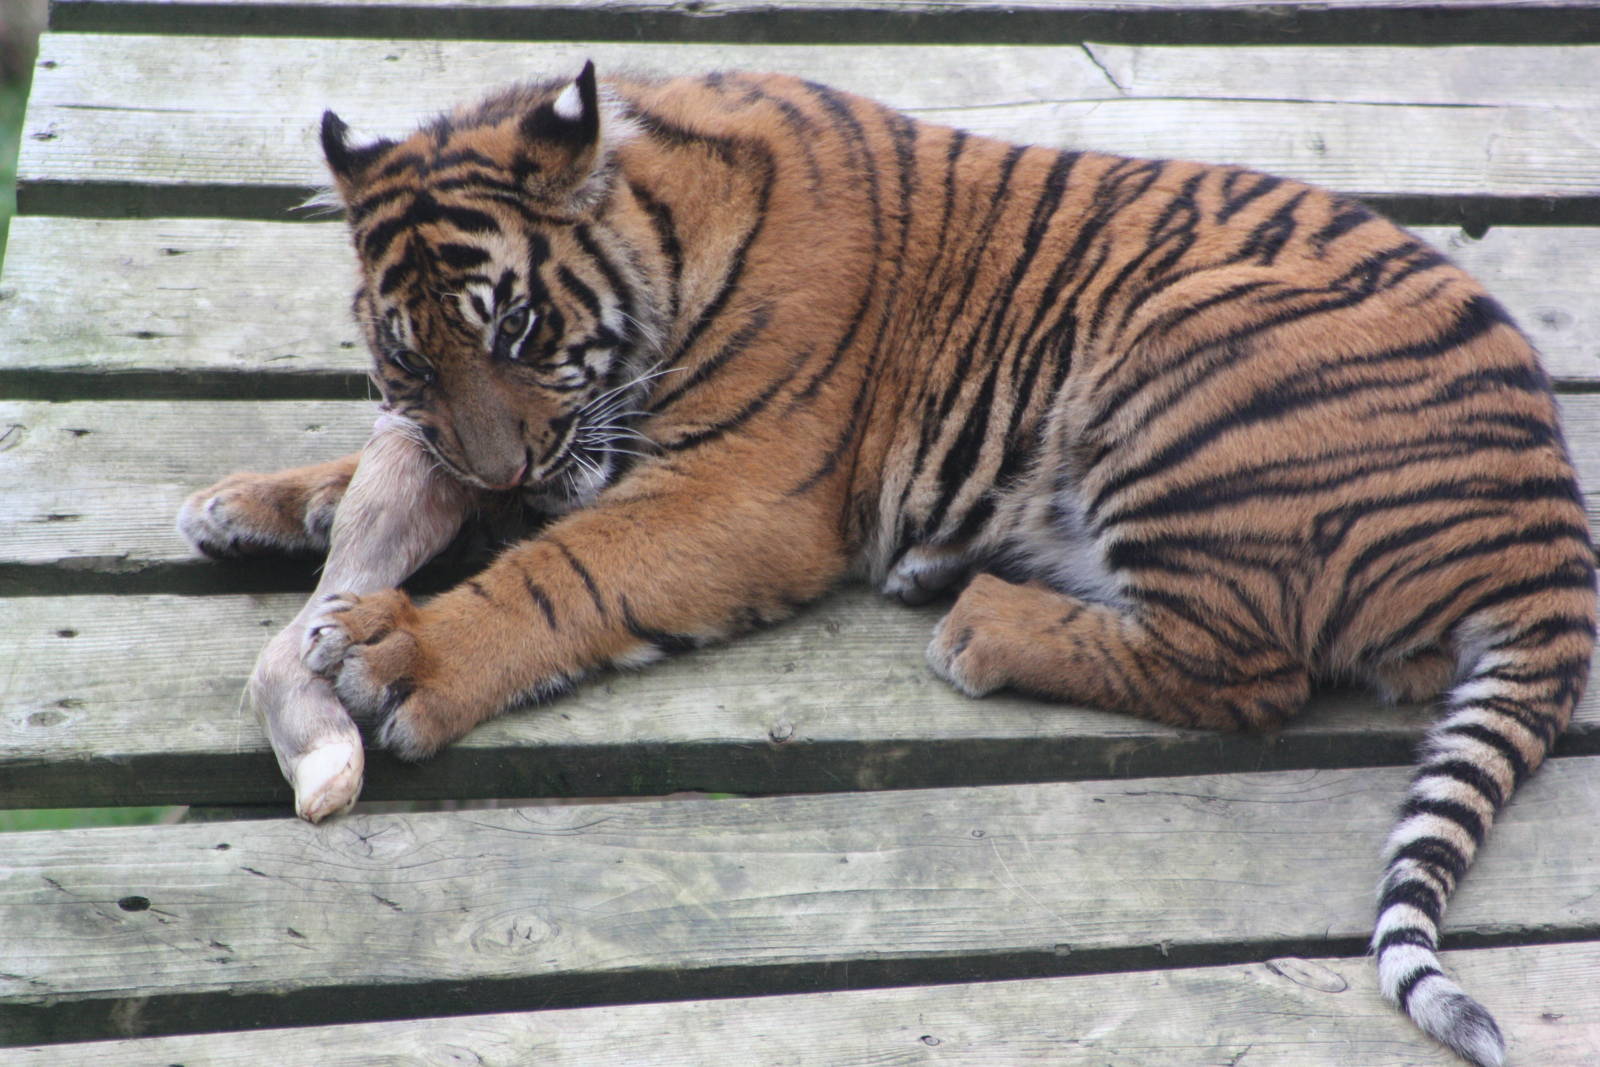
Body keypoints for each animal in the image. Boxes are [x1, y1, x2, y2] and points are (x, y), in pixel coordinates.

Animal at [177, 63, 1595, 1065]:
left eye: (520, 328)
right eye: (409, 359)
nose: (496, 473)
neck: (664, 223)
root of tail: (1550, 512)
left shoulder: (741, 489)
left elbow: (562, 569)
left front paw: (394, 645)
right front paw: (254, 499)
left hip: (1183, 354)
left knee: (1251, 671)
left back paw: (975, 616)